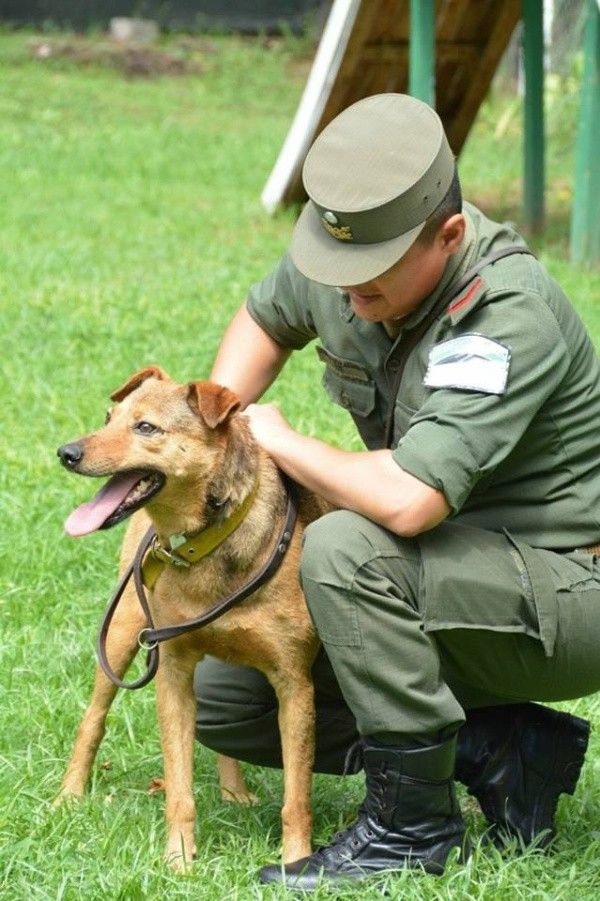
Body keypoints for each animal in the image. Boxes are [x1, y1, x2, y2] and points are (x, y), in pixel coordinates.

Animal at [55, 364, 324, 864]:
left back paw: (234, 792)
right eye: (108, 418)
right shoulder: (173, 669)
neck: (209, 540)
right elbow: (179, 789)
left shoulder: (295, 683)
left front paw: (296, 860)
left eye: (146, 427)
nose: (67, 452)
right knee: (92, 719)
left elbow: (297, 795)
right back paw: (68, 795)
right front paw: (178, 860)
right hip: (122, 632)